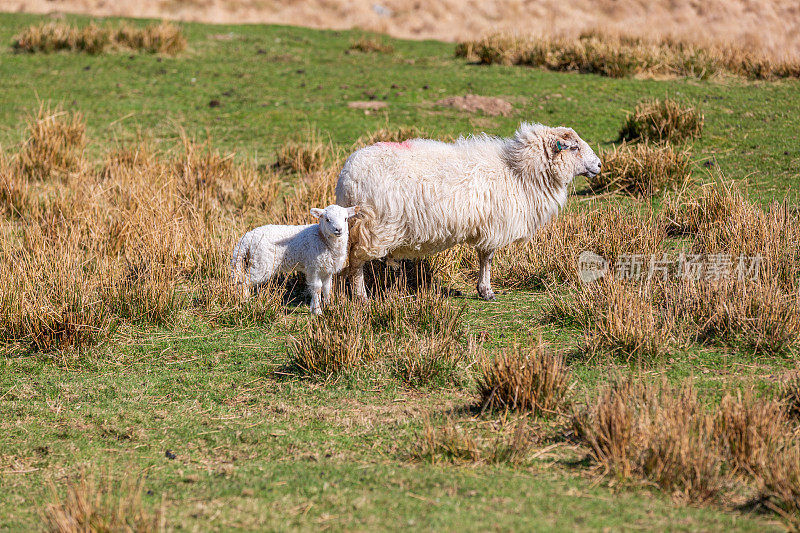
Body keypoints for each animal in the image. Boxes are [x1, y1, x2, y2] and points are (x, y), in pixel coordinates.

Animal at [230, 203, 358, 312]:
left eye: (345, 219)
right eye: (327, 219)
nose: (339, 230)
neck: (322, 238)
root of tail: (246, 239)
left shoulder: (326, 269)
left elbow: (327, 288)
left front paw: (329, 307)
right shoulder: (313, 267)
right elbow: (316, 288)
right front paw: (317, 311)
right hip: (261, 263)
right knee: (244, 281)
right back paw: (245, 301)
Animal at [334, 122, 604, 302]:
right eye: (574, 147)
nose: (600, 165)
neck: (517, 172)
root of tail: (347, 178)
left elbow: (484, 257)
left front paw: (483, 289)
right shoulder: (494, 224)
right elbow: (487, 258)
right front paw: (486, 291)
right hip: (373, 227)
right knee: (356, 262)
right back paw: (360, 297)